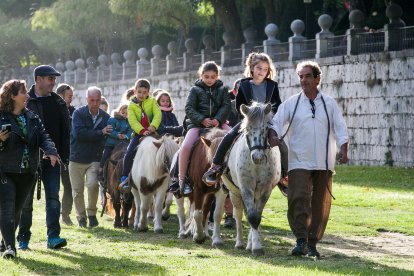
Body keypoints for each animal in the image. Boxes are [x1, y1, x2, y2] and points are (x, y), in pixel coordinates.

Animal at [222, 102, 280, 256]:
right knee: (238, 214)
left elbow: (256, 216)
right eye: (247, 129)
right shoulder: (245, 187)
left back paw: (249, 244)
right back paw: (240, 243)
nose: (258, 157)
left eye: (266, 128)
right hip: (234, 192)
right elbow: (252, 216)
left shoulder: (265, 190)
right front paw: (256, 247)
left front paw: (255, 245)